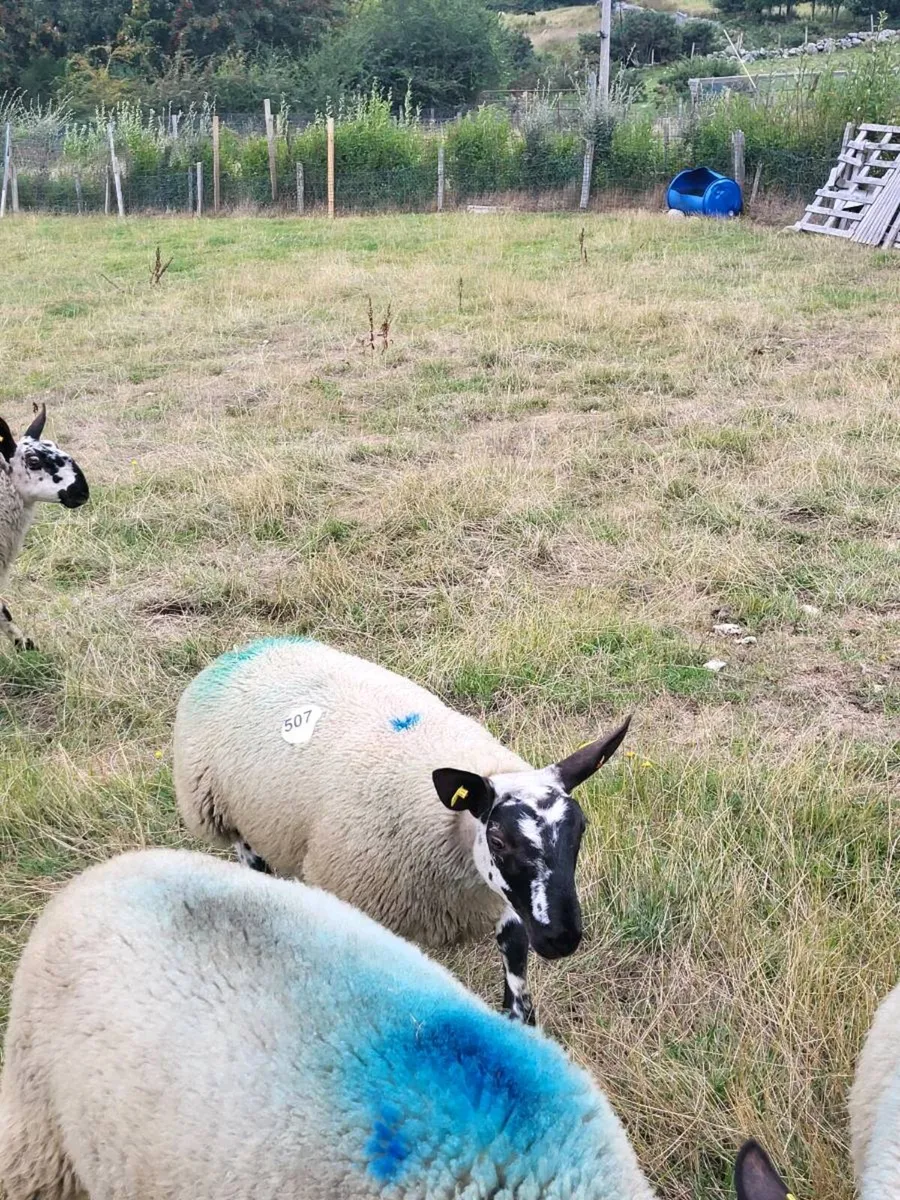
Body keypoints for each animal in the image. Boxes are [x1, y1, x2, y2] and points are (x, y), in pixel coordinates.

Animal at [173, 636, 631, 1024]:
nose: (562, 939)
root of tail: (244, 648)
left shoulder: (504, 903)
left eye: (580, 830)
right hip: (226, 816)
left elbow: (517, 984)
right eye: (499, 840)